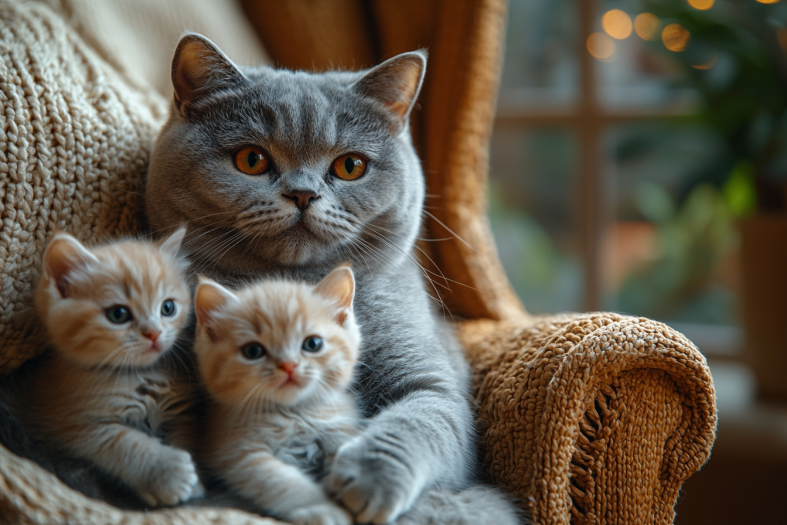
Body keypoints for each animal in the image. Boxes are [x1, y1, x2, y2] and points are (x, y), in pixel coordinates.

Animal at [21, 229, 202, 508]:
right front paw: (169, 473)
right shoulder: (71, 424)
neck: (140, 375)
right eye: (118, 314)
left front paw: (193, 483)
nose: (154, 333)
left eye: (168, 308)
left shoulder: (182, 411)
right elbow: (126, 445)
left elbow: (185, 438)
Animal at [194, 264, 360, 524]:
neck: (294, 413)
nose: (289, 366)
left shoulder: (340, 427)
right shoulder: (236, 451)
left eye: (313, 344)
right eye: (253, 351)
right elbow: (282, 482)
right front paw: (323, 509)